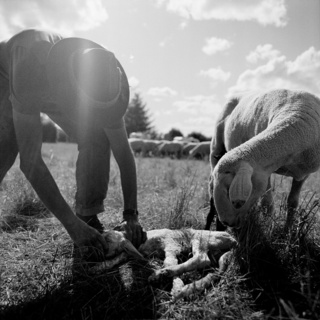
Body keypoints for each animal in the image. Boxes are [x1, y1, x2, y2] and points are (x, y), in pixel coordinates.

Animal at [89, 228, 235, 300]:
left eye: (107, 238)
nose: (94, 252)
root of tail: (233, 239)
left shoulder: (171, 243)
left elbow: (169, 261)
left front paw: (176, 286)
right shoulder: (129, 252)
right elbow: (117, 258)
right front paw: (96, 268)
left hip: (201, 237)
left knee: (201, 258)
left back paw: (163, 275)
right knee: (214, 270)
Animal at [206, 89, 320, 231]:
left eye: (228, 191)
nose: (226, 222)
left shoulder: (302, 174)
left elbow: (292, 203)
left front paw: (287, 230)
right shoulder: (265, 170)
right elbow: (267, 204)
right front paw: (268, 228)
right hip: (216, 147)